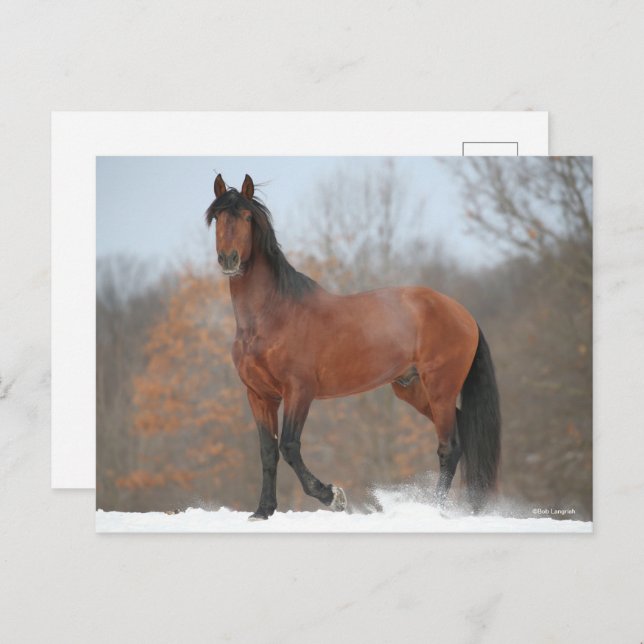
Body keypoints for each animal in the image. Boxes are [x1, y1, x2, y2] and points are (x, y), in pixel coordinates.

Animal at [206, 173, 501, 521]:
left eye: (247, 217)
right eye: (217, 218)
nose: (229, 259)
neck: (271, 316)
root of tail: (463, 313)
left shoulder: (299, 390)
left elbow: (289, 446)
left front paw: (333, 496)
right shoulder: (259, 395)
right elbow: (268, 451)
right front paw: (263, 511)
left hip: (440, 388)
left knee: (449, 447)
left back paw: (435, 509)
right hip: (413, 390)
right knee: (464, 432)